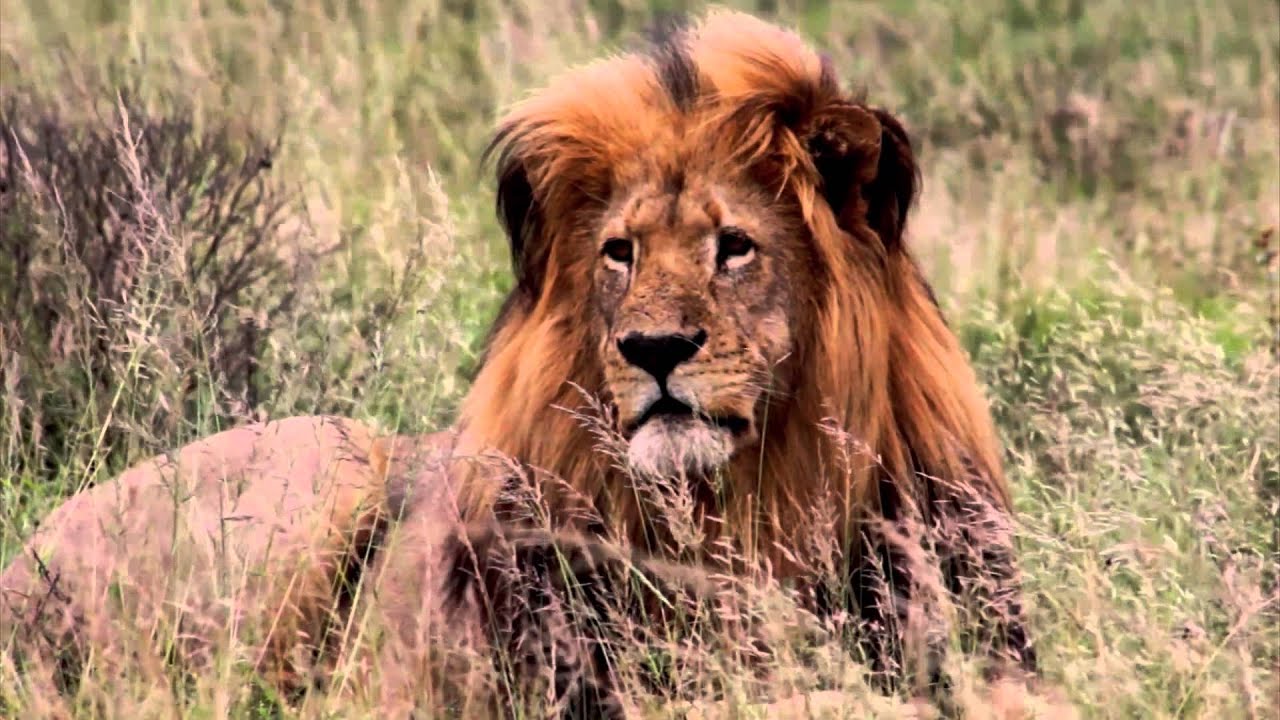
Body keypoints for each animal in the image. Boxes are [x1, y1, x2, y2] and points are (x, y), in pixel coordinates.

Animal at [2, 9, 1039, 718]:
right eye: (620, 253)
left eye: (735, 247)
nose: (655, 350)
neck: (742, 507)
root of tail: (24, 556)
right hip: (324, 467)